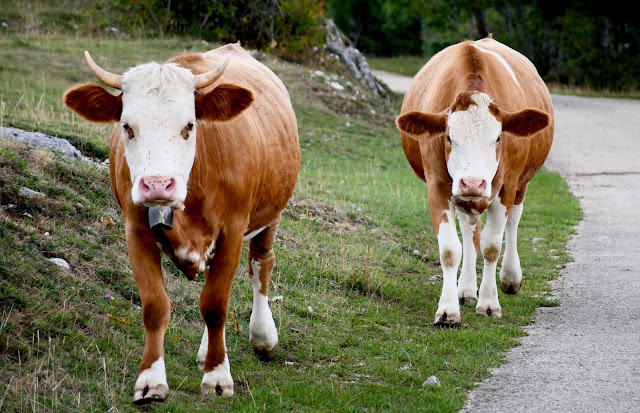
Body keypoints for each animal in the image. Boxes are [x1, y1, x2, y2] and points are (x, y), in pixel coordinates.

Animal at [63, 43, 302, 400]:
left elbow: (215, 305)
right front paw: (151, 380)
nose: (157, 184)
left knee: (261, 264)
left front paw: (217, 376)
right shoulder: (136, 232)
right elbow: (155, 307)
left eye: (189, 125)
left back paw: (263, 337)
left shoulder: (232, 230)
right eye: (127, 126)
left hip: (271, 212)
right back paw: (208, 350)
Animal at [392, 35, 552, 326]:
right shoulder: (437, 186)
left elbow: (491, 246)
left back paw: (510, 277)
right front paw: (448, 310)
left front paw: (489, 303)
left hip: (521, 183)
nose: (473, 183)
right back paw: (465, 288)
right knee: (469, 229)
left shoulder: (507, 186)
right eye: (448, 137)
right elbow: (449, 249)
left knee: (513, 221)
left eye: (498, 138)